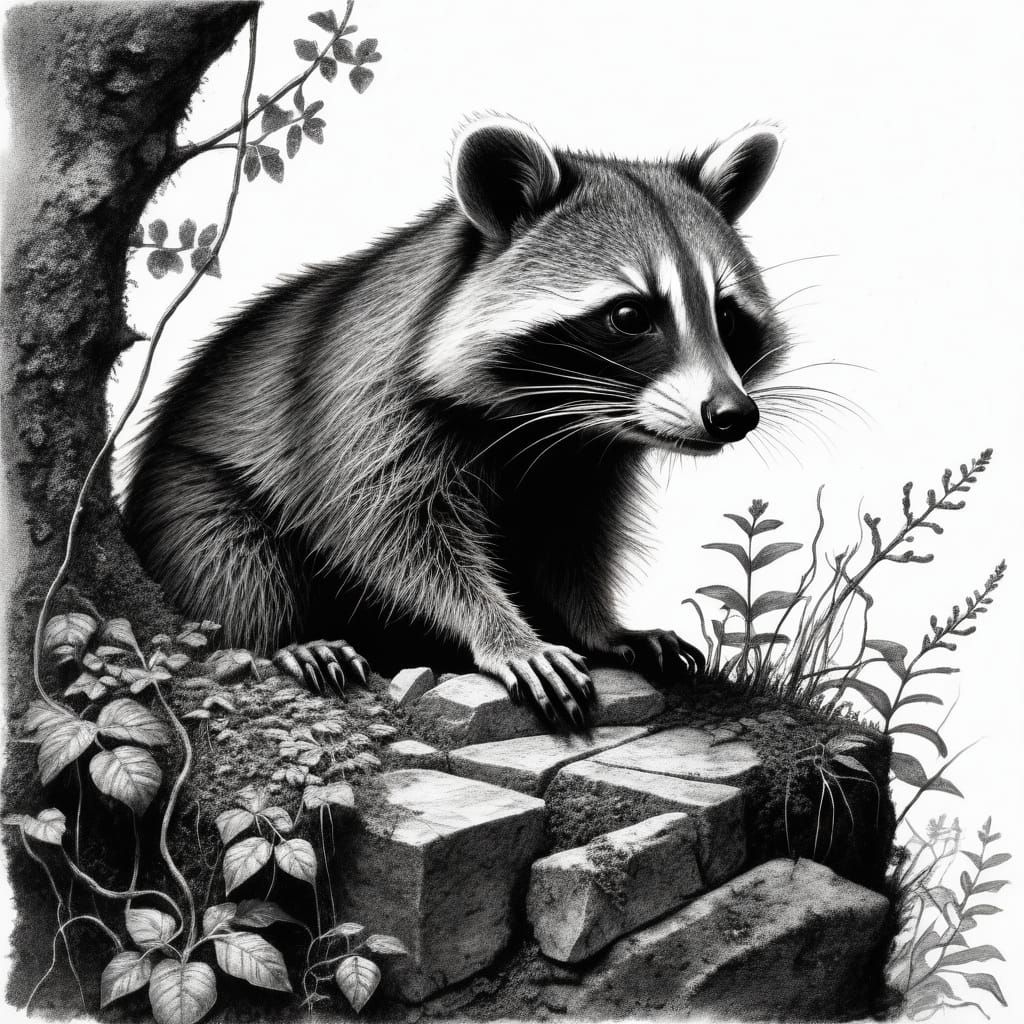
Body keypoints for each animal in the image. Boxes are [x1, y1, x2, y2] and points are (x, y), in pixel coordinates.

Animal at [123, 116, 788, 727]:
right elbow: (392, 534)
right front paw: (503, 632)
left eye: (727, 317)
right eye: (629, 316)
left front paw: (598, 625)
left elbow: (573, 542)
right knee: (229, 555)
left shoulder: (584, 462)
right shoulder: (369, 402)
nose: (733, 415)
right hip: (185, 491)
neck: (554, 417)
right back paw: (282, 638)